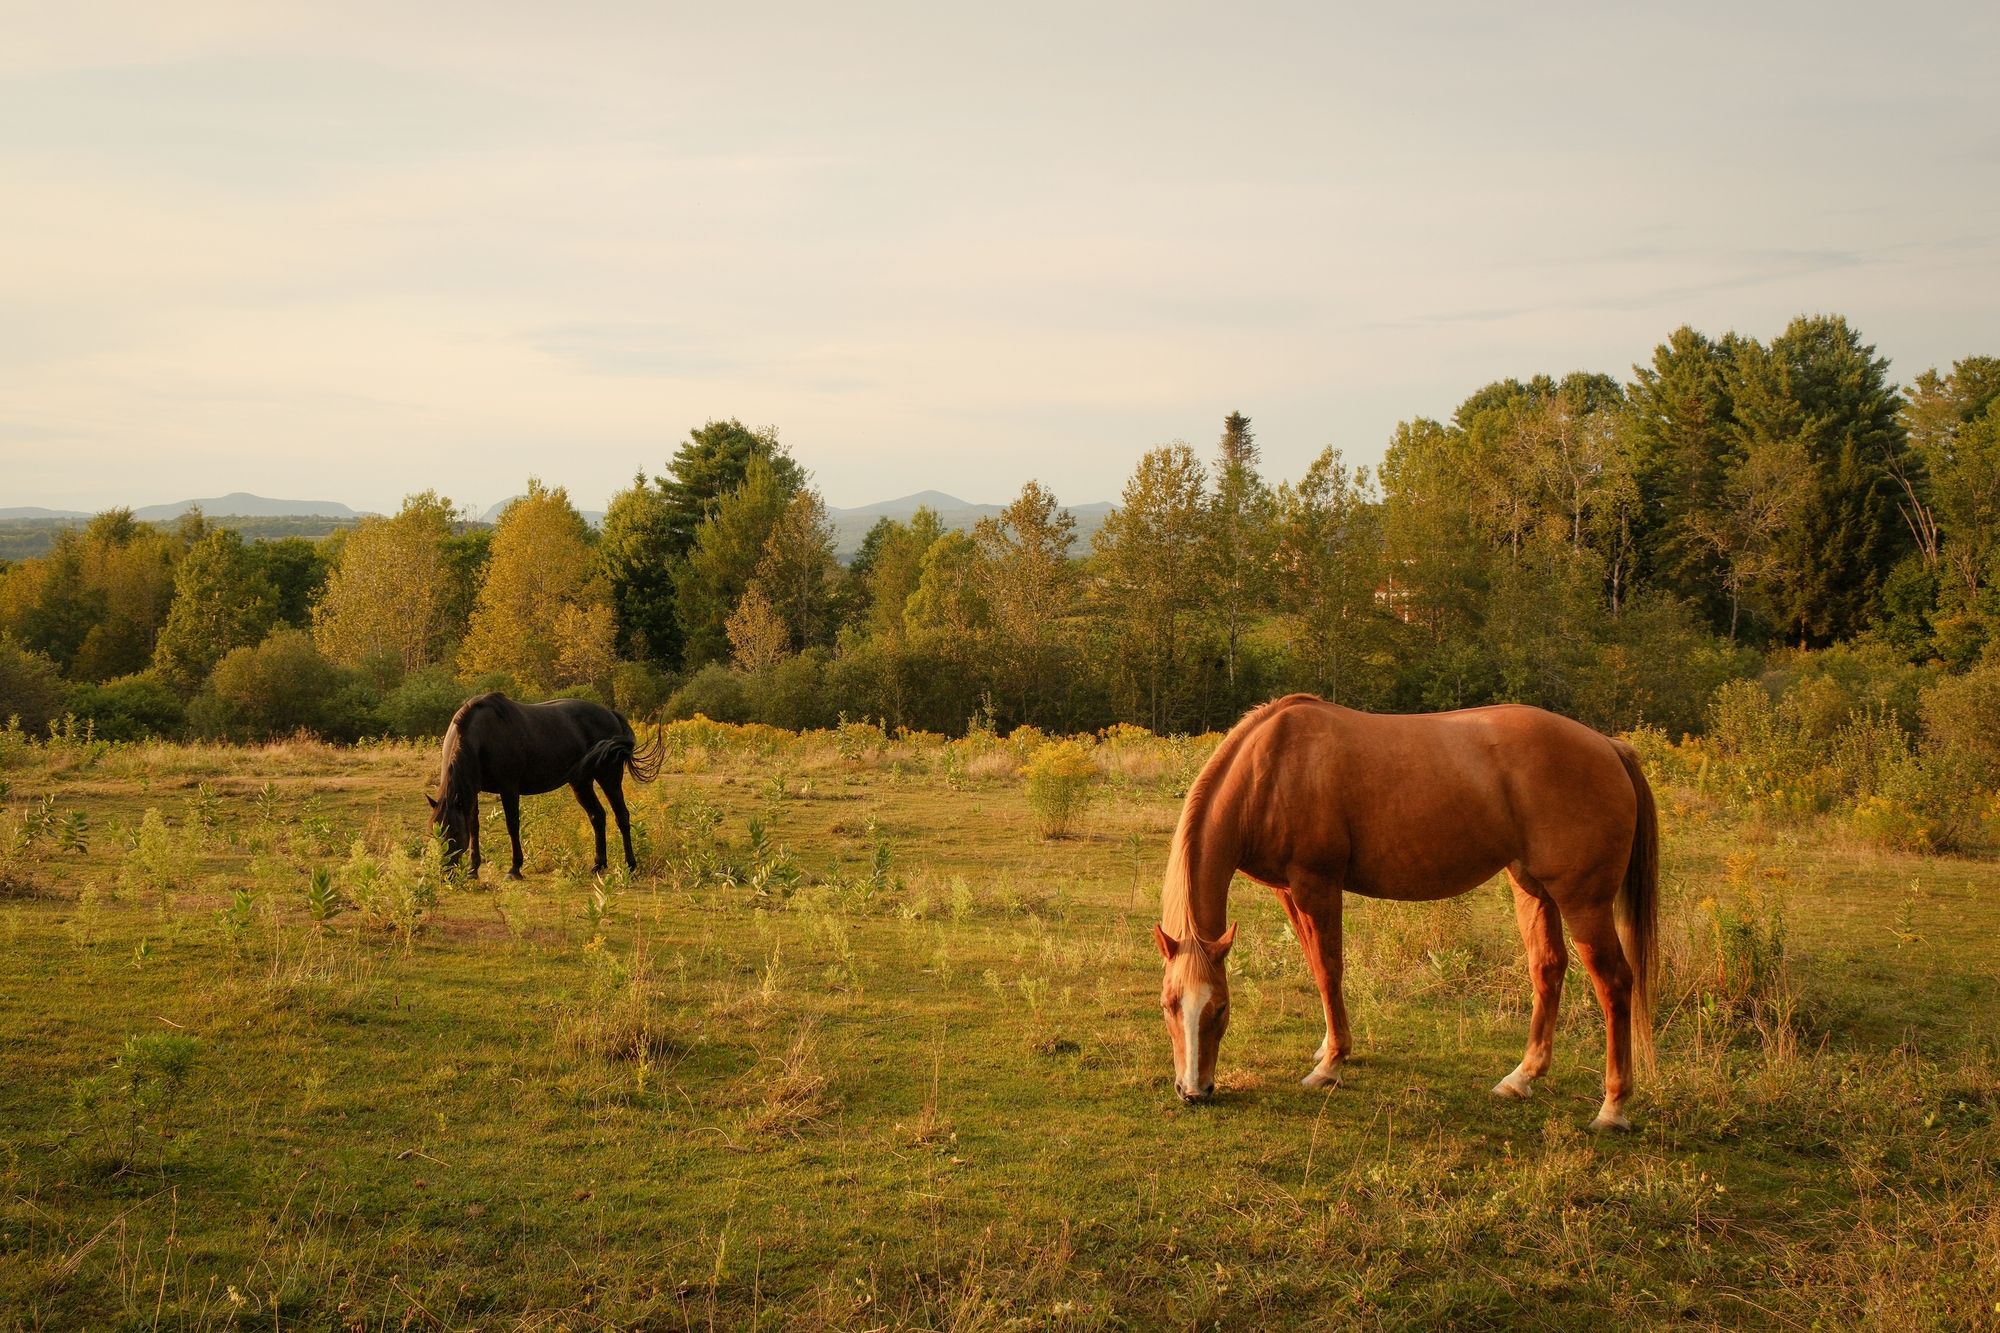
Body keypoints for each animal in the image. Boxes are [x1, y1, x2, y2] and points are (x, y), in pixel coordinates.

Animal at [428, 693, 662, 878]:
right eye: (432, 832)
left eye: (454, 832)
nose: (445, 874)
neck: (483, 736)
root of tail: (611, 714)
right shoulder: (472, 791)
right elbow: (474, 827)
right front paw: (472, 870)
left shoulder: (509, 789)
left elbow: (512, 825)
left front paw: (514, 869)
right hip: (581, 782)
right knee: (598, 816)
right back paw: (598, 865)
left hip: (609, 777)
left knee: (621, 816)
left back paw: (630, 865)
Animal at [1154, 694, 1657, 1131]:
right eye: (1168, 1005)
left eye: (1220, 1007)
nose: (1194, 1091)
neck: (1273, 766)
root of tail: (1608, 746)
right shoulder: (1288, 891)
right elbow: (1316, 966)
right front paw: (1326, 1049)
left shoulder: (1317, 884)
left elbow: (1329, 969)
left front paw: (1332, 1064)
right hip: (1532, 888)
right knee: (1548, 968)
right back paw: (1521, 1078)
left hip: (1583, 901)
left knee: (1614, 983)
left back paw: (1612, 1108)